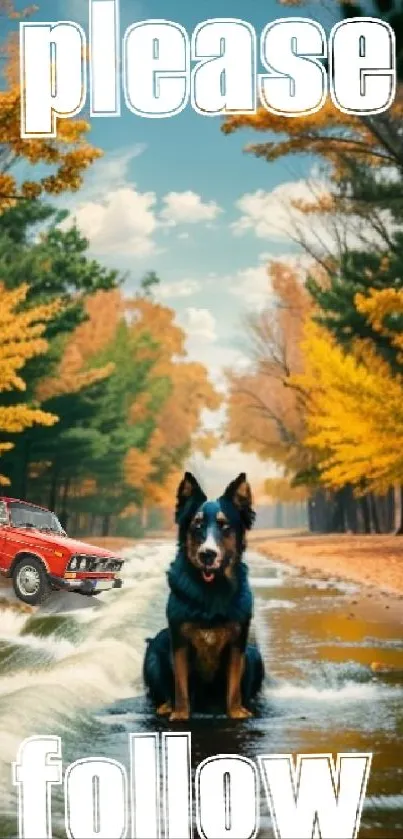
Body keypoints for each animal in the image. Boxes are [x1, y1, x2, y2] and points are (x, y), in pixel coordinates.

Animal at [143, 472, 266, 720]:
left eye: (225, 526)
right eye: (197, 525)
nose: (207, 554)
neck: (211, 589)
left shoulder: (238, 642)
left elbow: (234, 688)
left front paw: (236, 713)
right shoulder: (179, 640)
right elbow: (180, 687)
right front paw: (180, 715)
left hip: (255, 655)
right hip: (154, 650)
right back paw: (166, 706)